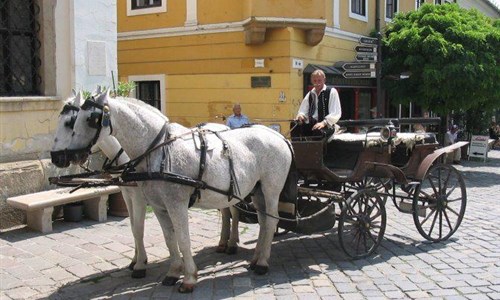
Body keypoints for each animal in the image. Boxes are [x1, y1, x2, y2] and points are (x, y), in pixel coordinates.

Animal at [64, 92, 294, 292]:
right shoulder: (158, 206)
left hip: (271, 189)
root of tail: (278, 135)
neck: (158, 151)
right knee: (263, 221)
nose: (69, 155)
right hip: (257, 190)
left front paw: (189, 278)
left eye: (90, 119)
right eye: (73, 121)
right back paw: (256, 257)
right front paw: (173, 272)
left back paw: (262, 263)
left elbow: (183, 239)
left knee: (271, 220)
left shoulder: (177, 204)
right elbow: (169, 239)